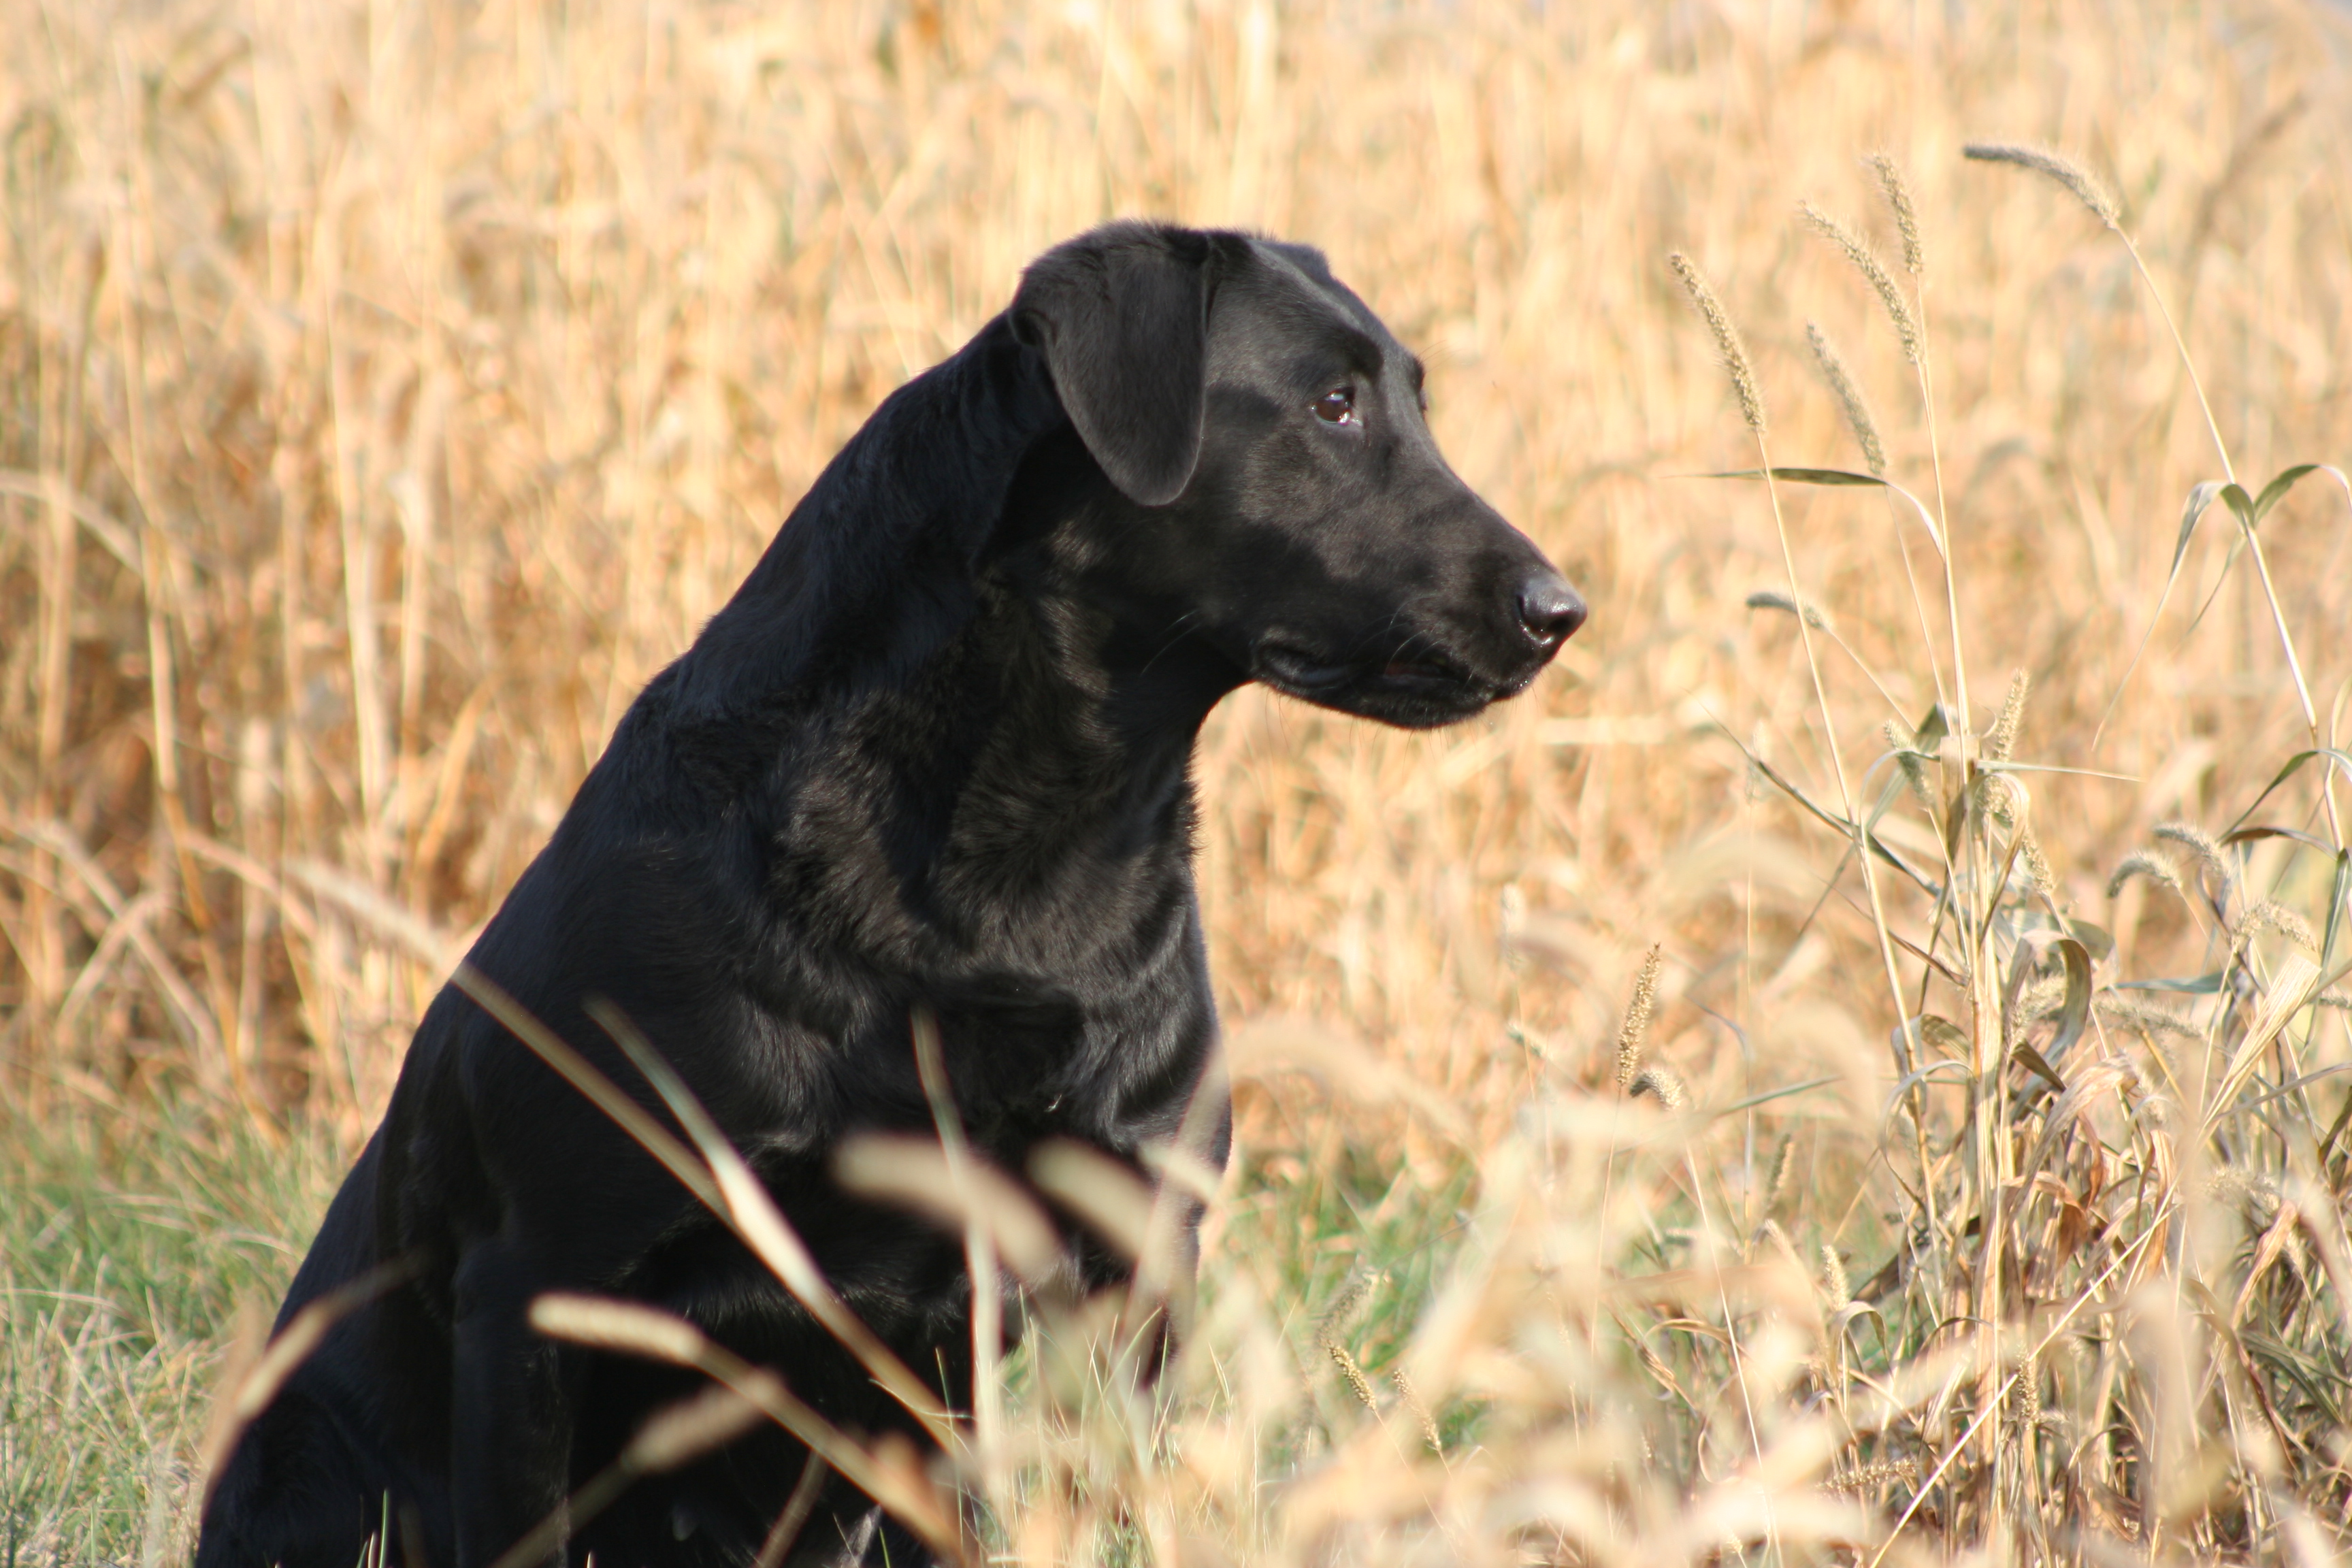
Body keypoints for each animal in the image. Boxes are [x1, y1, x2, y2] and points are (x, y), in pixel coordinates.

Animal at [202, 220, 1590, 1568]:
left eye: (1411, 401)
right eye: (1332, 404)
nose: (1559, 610)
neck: (1019, 861)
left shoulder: (1129, 1265)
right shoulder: (537, 1283)